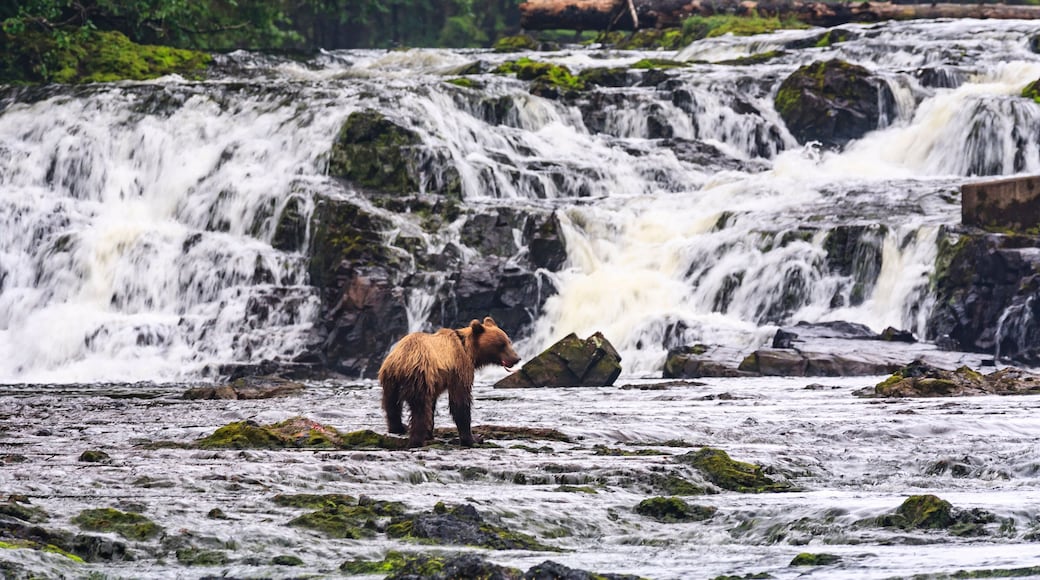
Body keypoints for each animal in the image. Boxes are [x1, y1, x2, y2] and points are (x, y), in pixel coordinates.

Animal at [378, 316, 521, 448]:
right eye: (501, 344)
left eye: (508, 341)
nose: (517, 358)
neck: (468, 350)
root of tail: (402, 361)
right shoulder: (459, 369)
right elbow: (460, 402)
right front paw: (473, 438)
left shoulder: (435, 381)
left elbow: (433, 404)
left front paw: (429, 432)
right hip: (419, 376)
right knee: (419, 408)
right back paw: (416, 440)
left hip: (391, 380)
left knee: (392, 404)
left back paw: (398, 427)